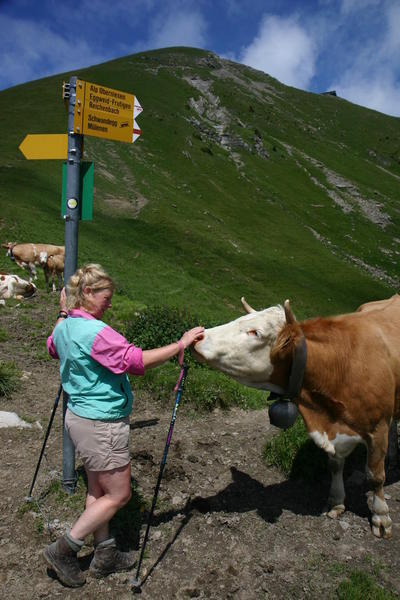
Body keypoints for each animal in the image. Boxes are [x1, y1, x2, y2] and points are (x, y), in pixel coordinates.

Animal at [194, 296, 400, 540]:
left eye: (255, 332)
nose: (197, 336)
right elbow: (335, 466)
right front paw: (336, 502)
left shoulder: (377, 429)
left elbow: (375, 476)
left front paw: (381, 517)